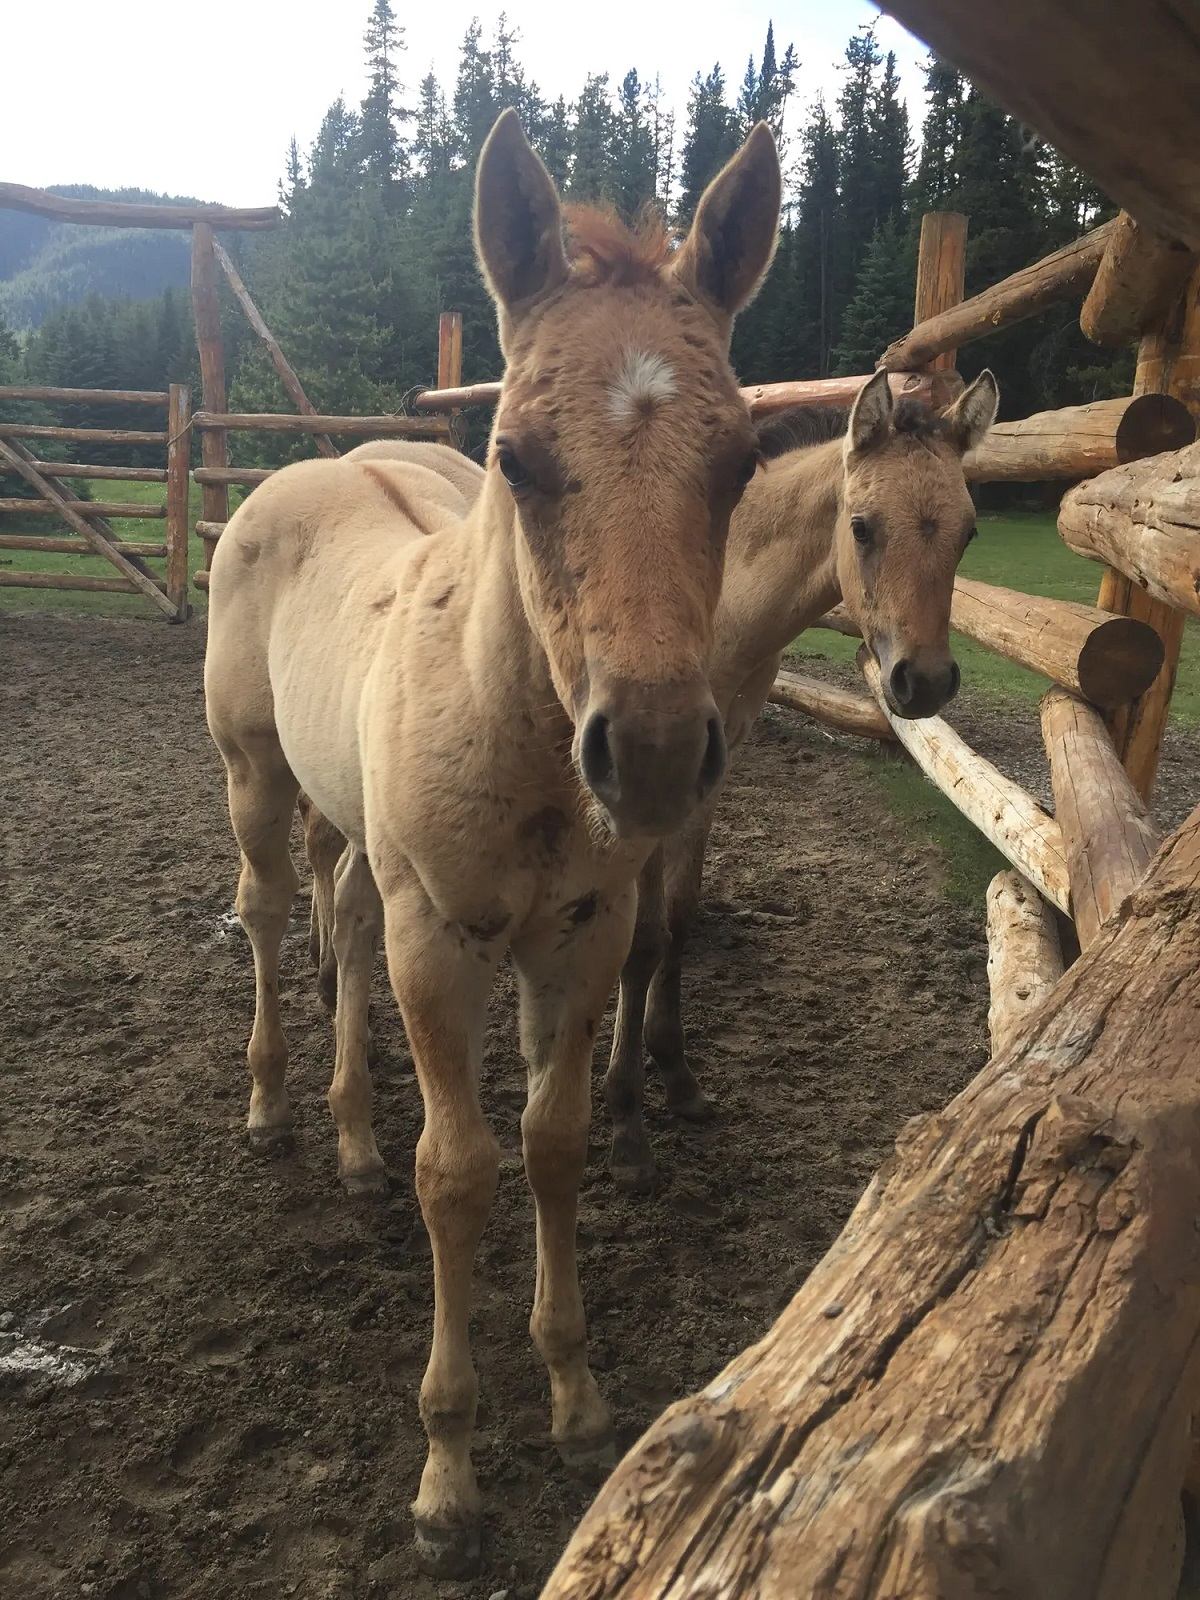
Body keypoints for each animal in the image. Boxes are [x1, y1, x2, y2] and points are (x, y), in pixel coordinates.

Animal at [204, 109, 781, 1575]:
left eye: (741, 464)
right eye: (516, 457)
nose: (649, 751)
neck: (519, 745)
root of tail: (307, 465)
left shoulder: (582, 937)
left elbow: (554, 1143)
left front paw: (575, 1395)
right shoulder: (443, 940)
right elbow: (458, 1172)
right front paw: (448, 1476)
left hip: (357, 826)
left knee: (341, 918)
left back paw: (349, 1138)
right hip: (251, 775)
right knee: (267, 910)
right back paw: (272, 1108)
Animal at [603, 365, 1000, 1188]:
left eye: (969, 531)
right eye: (862, 527)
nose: (924, 682)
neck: (718, 608)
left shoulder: (713, 774)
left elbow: (679, 919)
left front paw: (678, 1077)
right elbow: (644, 939)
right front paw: (626, 1123)